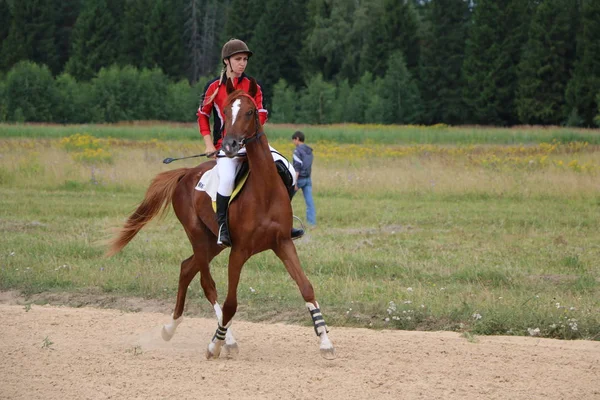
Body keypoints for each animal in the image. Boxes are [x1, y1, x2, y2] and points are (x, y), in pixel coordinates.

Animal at [105, 77, 336, 360]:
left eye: (250, 111)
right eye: (225, 111)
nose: (230, 145)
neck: (264, 191)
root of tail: (186, 173)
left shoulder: (283, 244)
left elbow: (306, 287)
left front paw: (325, 341)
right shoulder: (239, 251)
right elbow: (230, 303)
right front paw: (215, 343)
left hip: (212, 242)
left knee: (186, 268)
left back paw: (170, 328)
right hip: (197, 235)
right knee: (206, 283)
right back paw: (225, 340)